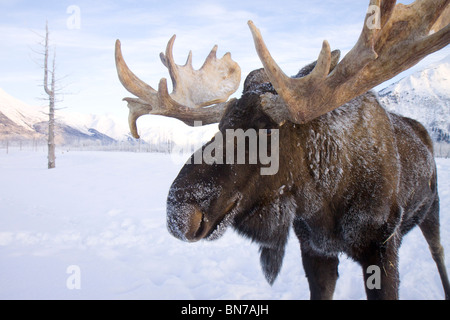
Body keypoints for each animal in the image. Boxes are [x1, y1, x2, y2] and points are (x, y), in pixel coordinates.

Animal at [116, 0, 450, 300]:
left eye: (266, 130)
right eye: (221, 126)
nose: (179, 213)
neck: (328, 202)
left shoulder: (382, 249)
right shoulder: (314, 250)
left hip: (432, 208)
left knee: (438, 253)